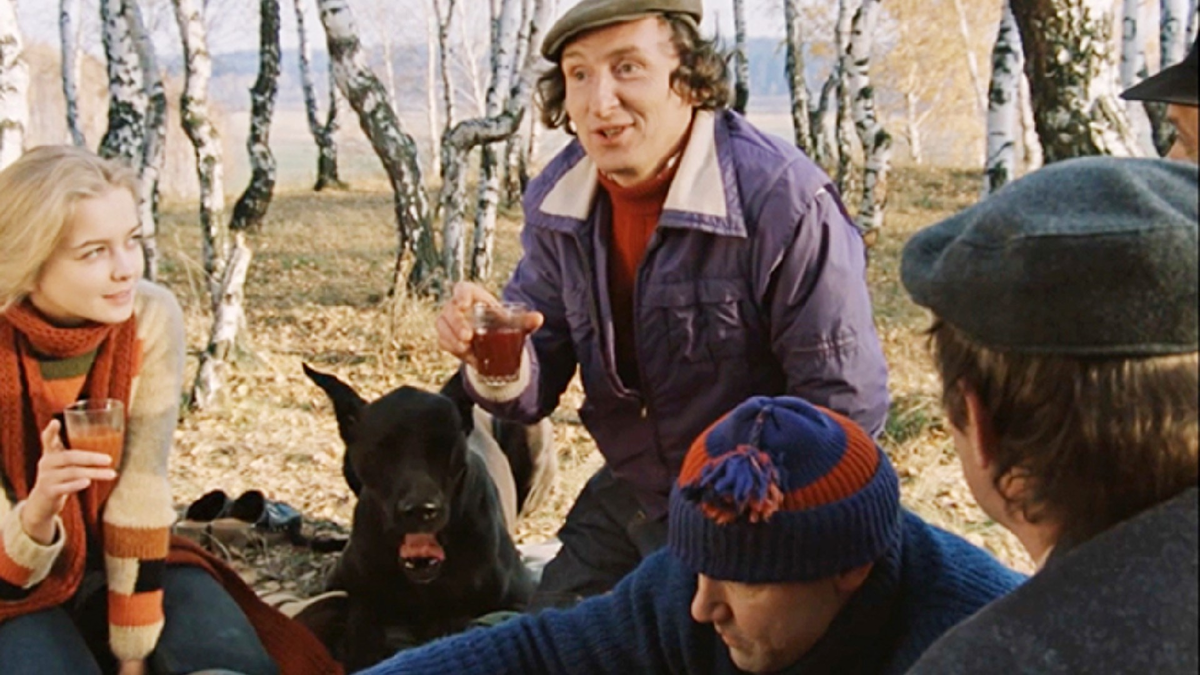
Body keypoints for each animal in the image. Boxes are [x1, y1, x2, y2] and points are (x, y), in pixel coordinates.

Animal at [302, 364, 549, 670]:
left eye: (444, 445)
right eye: (382, 448)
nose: (421, 509)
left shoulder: (522, 597)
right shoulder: (341, 586)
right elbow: (359, 613)